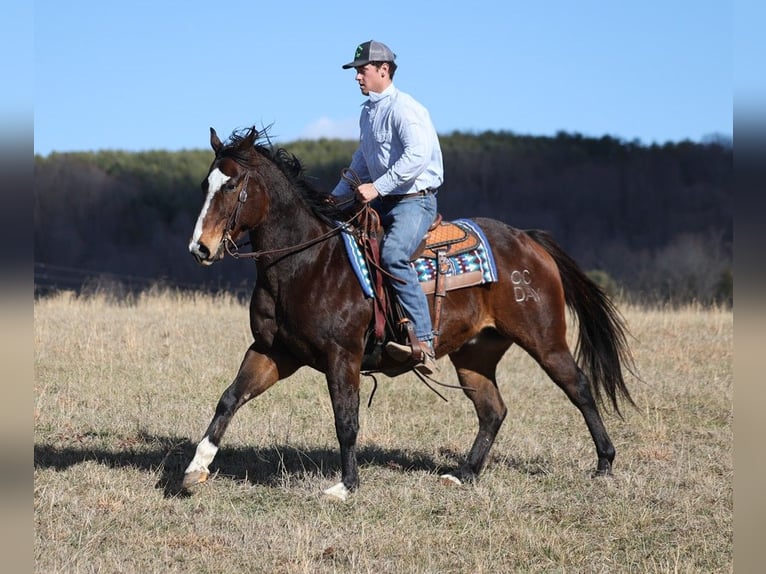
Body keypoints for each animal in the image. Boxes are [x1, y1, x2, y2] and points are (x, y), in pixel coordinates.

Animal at [183, 125, 640, 500]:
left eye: (232, 185)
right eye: (206, 183)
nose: (200, 248)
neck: (306, 263)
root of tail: (528, 240)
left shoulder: (342, 357)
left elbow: (345, 420)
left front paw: (346, 486)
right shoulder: (272, 351)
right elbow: (229, 398)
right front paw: (195, 468)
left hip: (544, 339)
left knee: (578, 387)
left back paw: (604, 463)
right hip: (475, 353)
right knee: (492, 409)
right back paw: (464, 474)